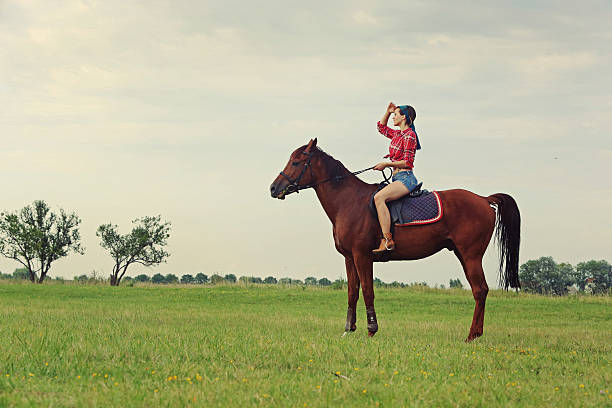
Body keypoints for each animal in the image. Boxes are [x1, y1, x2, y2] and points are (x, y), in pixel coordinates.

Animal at [270, 139, 520, 342]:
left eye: (295, 162)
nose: (273, 188)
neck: (349, 201)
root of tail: (483, 199)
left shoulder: (362, 256)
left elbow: (368, 291)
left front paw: (371, 330)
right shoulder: (350, 258)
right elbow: (352, 293)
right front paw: (349, 329)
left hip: (471, 255)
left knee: (480, 290)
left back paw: (471, 335)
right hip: (462, 254)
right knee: (481, 290)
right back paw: (475, 334)